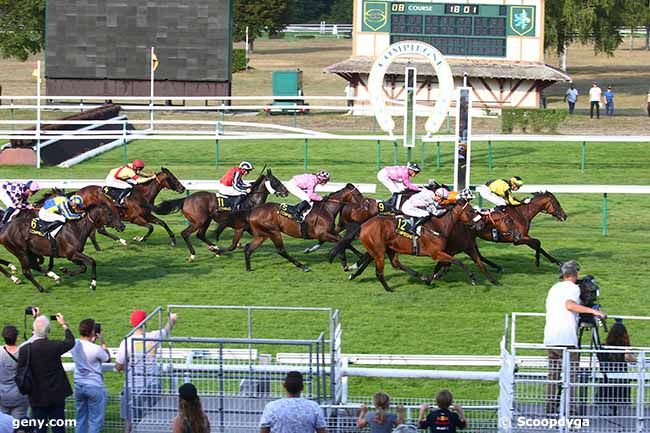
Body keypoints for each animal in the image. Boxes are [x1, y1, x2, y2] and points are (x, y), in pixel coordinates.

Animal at [153, 167, 288, 258]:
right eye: (276, 181)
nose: (286, 192)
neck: (251, 201)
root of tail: (186, 199)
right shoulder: (243, 225)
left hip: (206, 220)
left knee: (200, 235)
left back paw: (214, 248)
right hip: (199, 220)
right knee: (185, 233)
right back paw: (193, 254)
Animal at [330, 201, 486, 292]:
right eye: (471, 211)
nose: (480, 224)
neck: (438, 226)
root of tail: (363, 225)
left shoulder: (441, 252)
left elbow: (448, 264)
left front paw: (429, 279)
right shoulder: (436, 253)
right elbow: (458, 261)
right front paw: (472, 278)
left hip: (389, 248)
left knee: (395, 264)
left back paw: (421, 276)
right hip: (379, 251)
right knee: (379, 272)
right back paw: (389, 289)